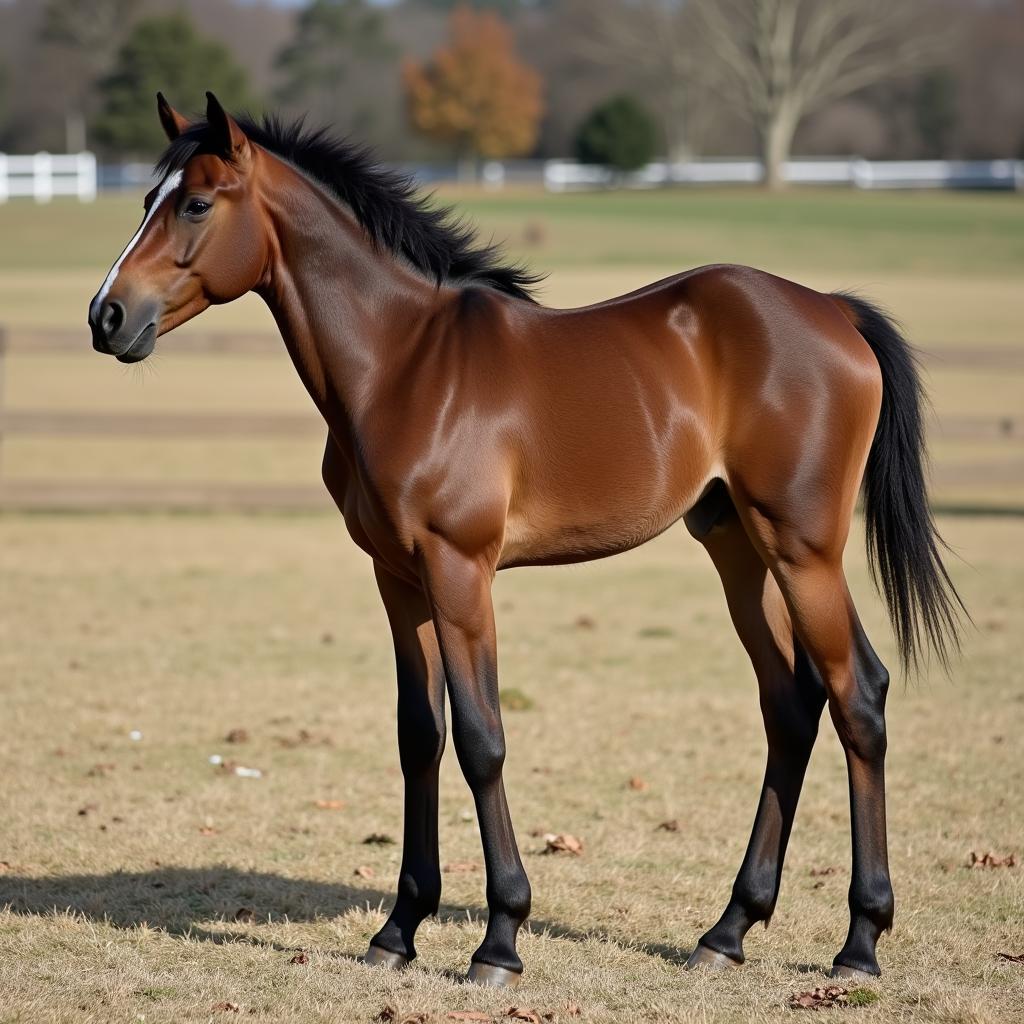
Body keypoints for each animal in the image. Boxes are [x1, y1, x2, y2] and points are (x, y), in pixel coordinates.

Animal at [86, 92, 958, 987]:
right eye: (146, 199)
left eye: (196, 203)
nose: (107, 316)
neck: (403, 364)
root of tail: (834, 310)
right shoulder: (398, 578)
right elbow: (420, 736)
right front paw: (398, 929)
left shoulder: (460, 571)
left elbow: (481, 740)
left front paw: (499, 938)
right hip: (737, 547)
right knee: (790, 705)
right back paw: (727, 931)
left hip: (802, 549)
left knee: (859, 696)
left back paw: (858, 943)